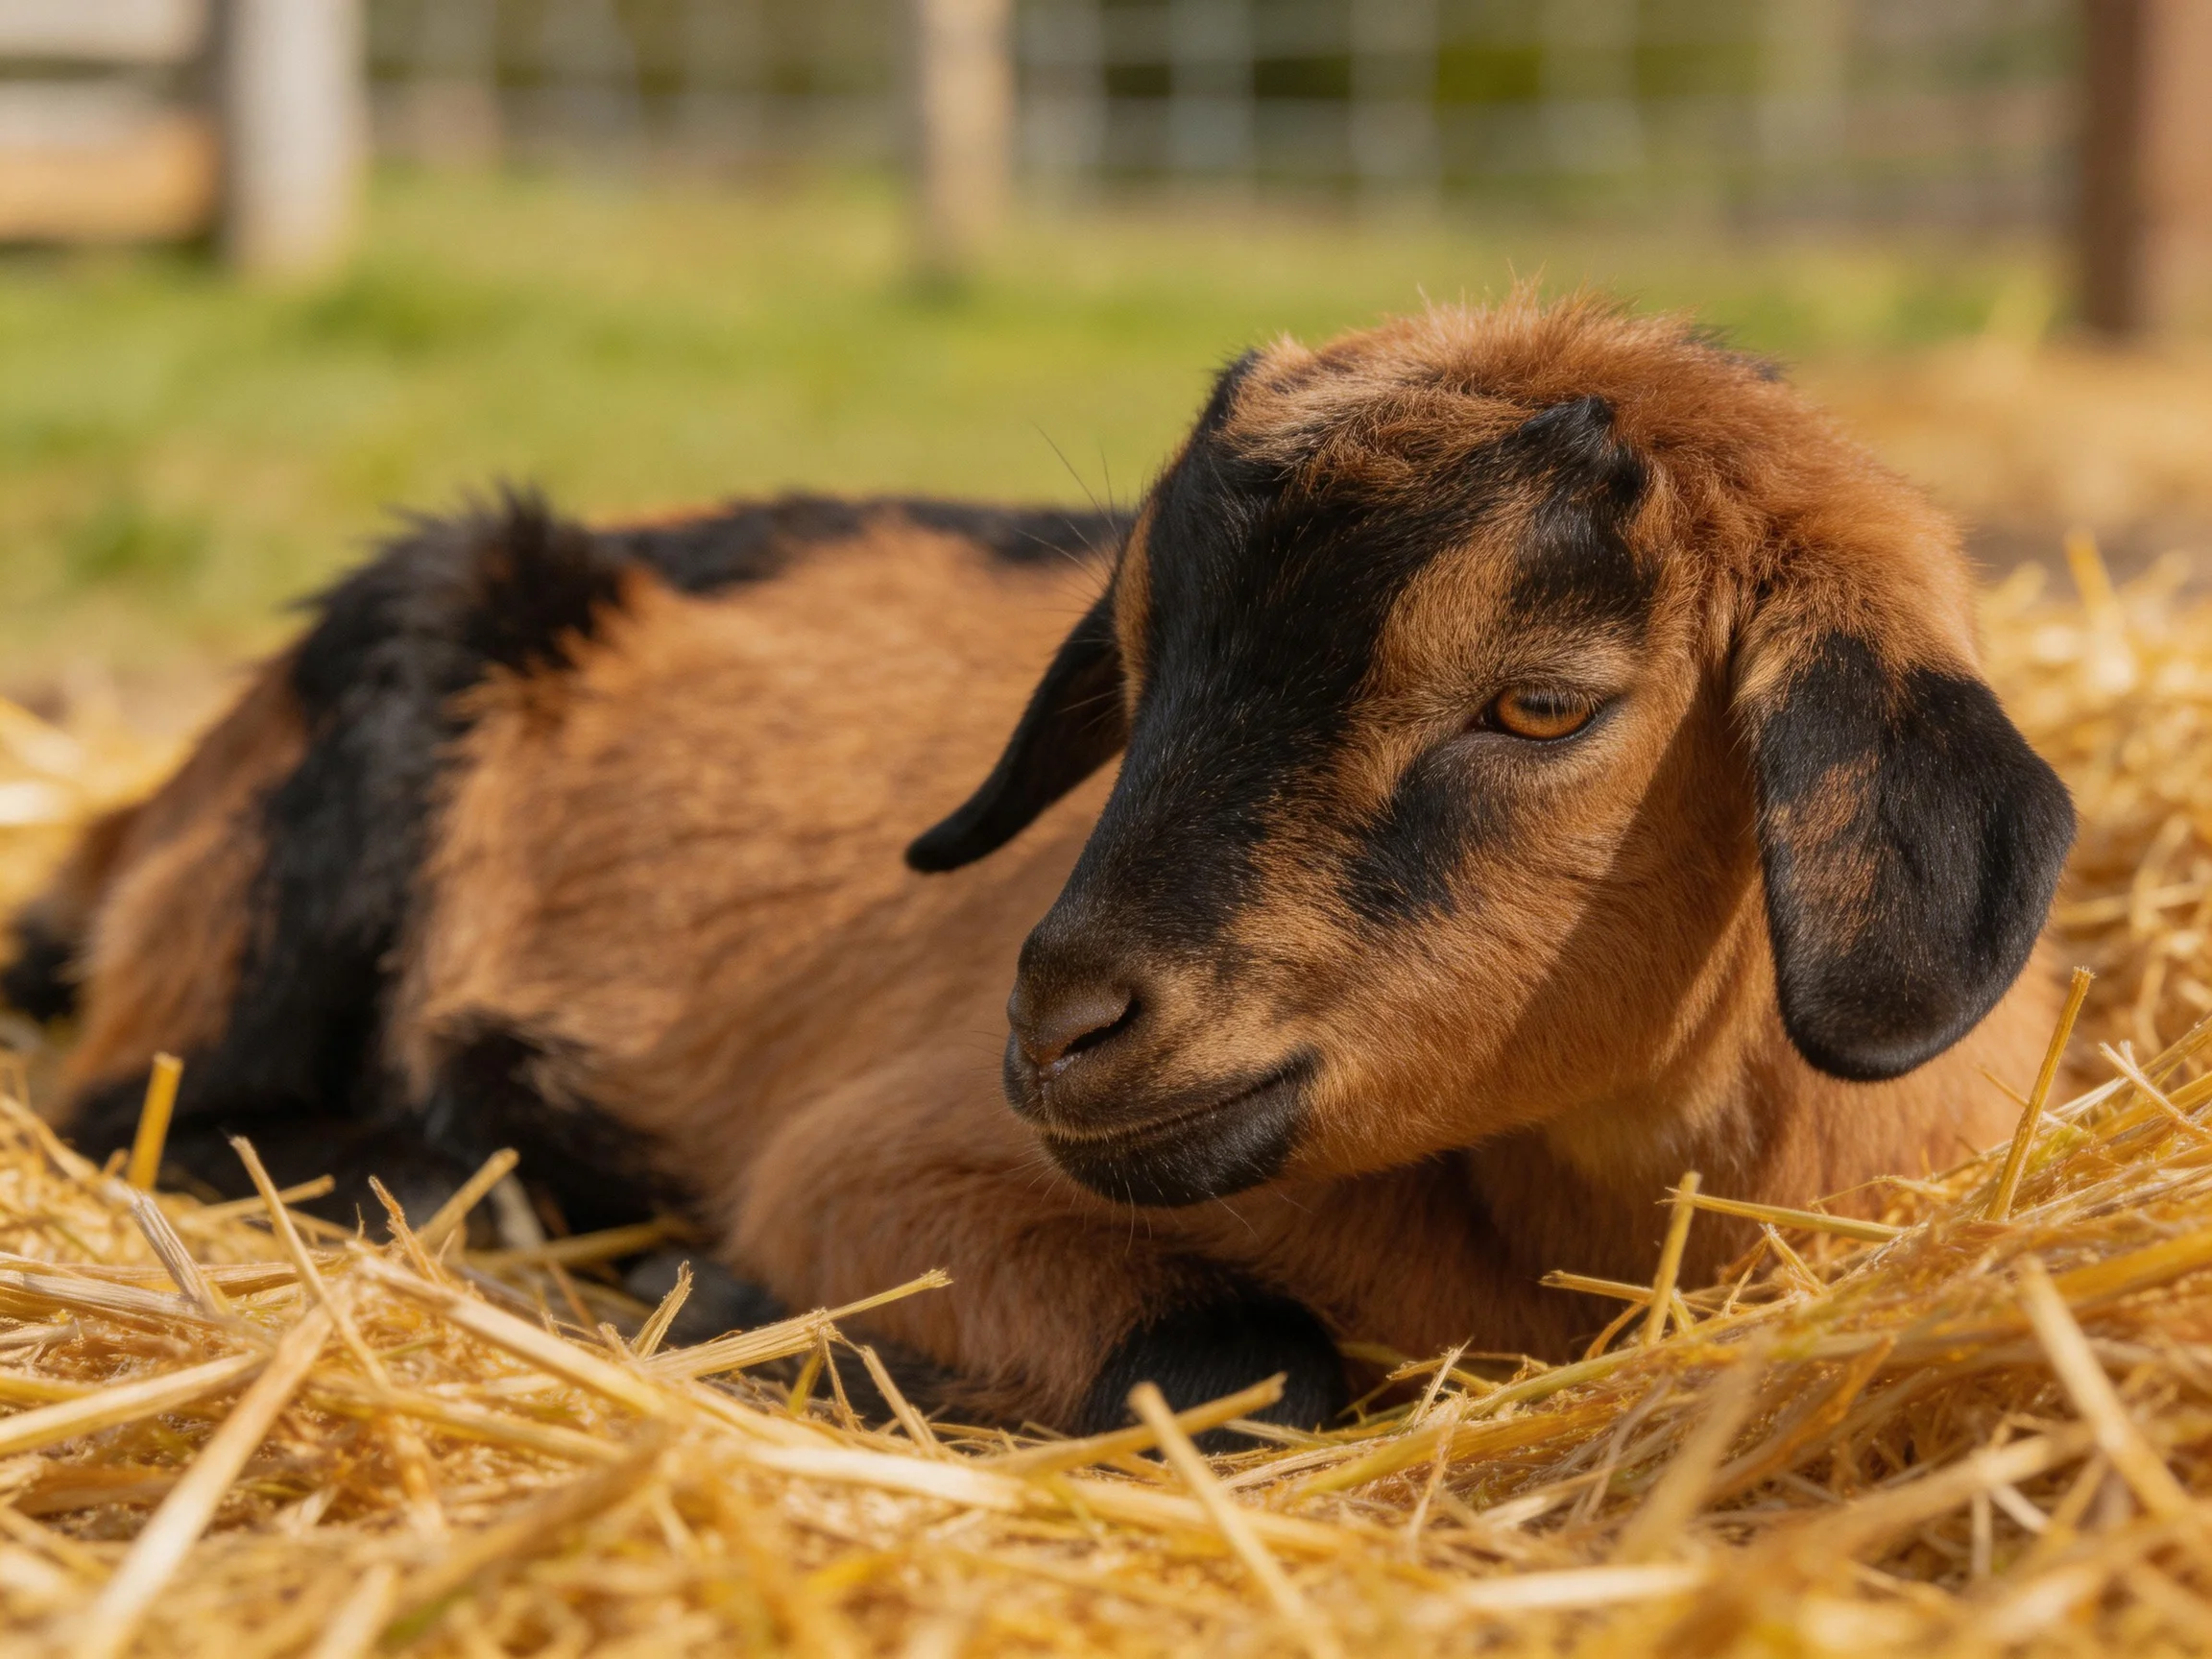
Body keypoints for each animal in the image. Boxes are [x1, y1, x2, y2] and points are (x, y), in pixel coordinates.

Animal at [4, 299, 2074, 1433]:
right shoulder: (879, 1163)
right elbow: (1244, 1365)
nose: (1066, 1024)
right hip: (374, 717)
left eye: (1545, 703)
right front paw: (724, 1305)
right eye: (1137, 661)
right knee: (158, 1107)